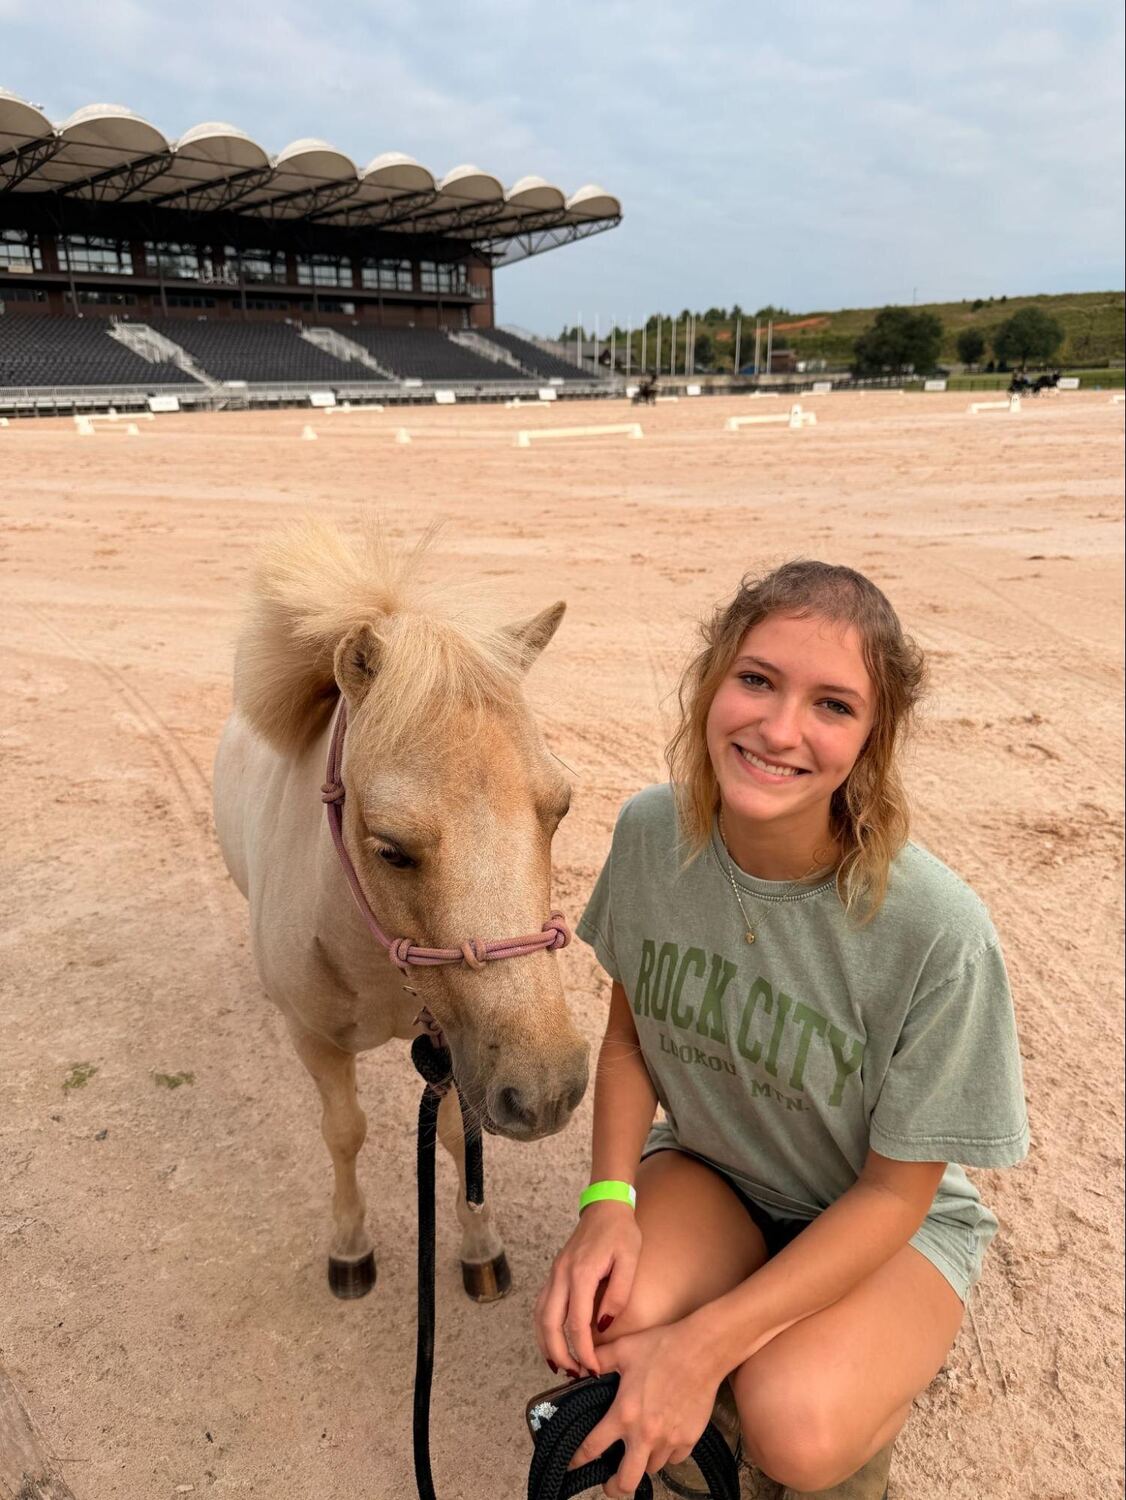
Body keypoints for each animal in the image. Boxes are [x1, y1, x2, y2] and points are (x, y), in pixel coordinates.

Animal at [212, 521, 589, 1301]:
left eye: (561, 808)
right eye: (389, 847)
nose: (547, 1091)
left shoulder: (453, 1051)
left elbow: (454, 1138)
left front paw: (479, 1247)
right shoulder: (315, 1043)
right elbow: (344, 1132)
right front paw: (350, 1245)